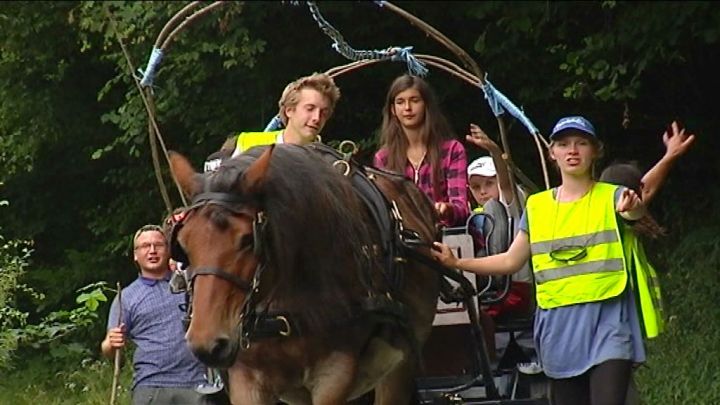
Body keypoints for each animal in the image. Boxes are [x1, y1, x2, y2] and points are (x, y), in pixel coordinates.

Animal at [168, 144, 442, 402]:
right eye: (183, 244)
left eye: (248, 240)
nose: (208, 344)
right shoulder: (246, 380)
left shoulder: (334, 374)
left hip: (399, 369)